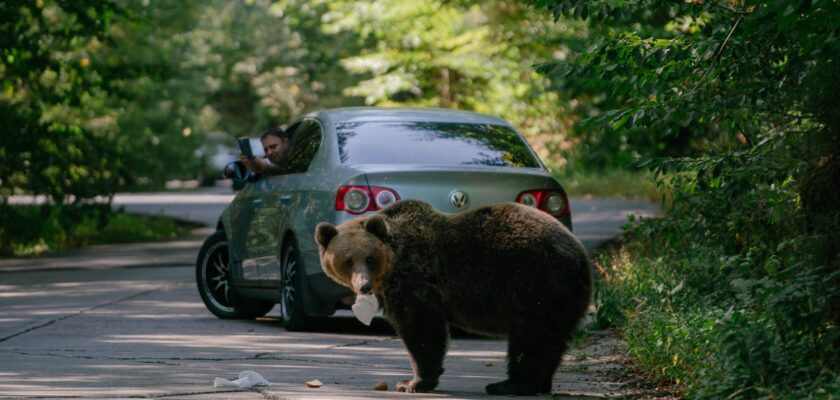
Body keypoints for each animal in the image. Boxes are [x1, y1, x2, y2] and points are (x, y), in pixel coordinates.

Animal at [314, 199, 592, 394]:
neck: (392, 266)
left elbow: (422, 330)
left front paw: (411, 382)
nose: (364, 286)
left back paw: (510, 384)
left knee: (529, 337)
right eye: (348, 260)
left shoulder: (416, 281)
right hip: (558, 296)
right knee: (551, 339)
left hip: (534, 282)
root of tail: (580, 253)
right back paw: (540, 383)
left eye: (369, 258)